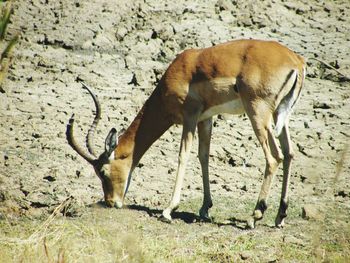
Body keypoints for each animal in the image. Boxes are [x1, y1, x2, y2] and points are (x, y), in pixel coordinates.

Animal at [67, 39, 304, 229]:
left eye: (103, 172)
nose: (110, 202)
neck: (182, 69)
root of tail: (296, 61)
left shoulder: (189, 116)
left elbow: (183, 156)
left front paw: (168, 210)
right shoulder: (205, 119)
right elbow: (203, 156)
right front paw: (205, 209)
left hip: (258, 113)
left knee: (274, 157)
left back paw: (254, 216)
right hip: (279, 116)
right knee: (289, 153)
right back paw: (280, 216)